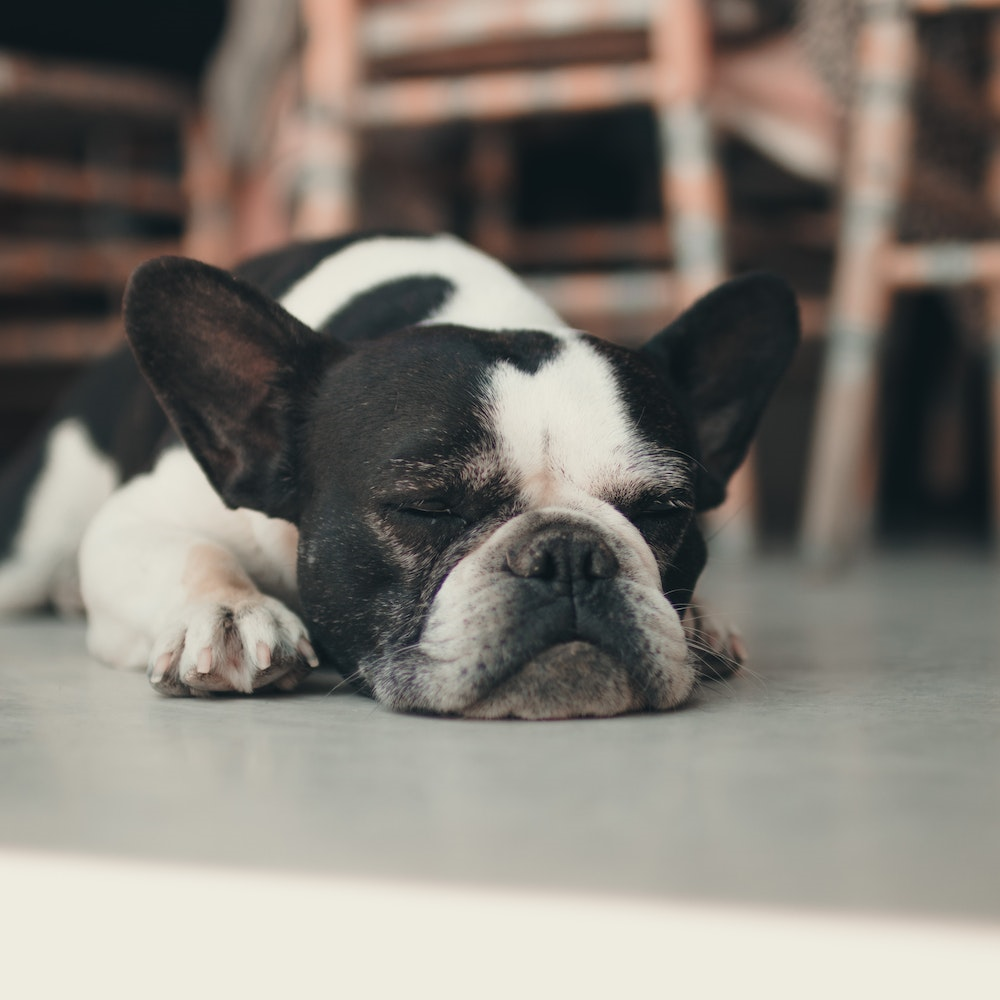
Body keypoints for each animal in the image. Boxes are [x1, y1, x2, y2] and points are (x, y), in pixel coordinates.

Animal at [0, 232, 796, 720]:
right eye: (426, 510)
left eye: (664, 514)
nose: (572, 554)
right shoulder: (134, 519)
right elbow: (196, 551)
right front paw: (228, 612)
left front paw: (700, 620)